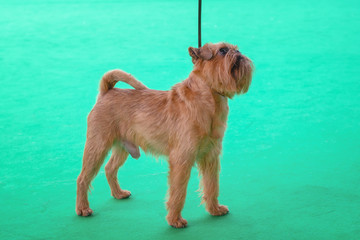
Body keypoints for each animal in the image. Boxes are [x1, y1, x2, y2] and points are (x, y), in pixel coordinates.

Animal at [76, 42, 253, 228]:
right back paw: (83, 208)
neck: (207, 99)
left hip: (122, 147)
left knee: (109, 168)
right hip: (97, 146)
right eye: (223, 51)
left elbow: (211, 185)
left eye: (235, 48)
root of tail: (107, 92)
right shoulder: (182, 159)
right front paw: (175, 220)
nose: (238, 53)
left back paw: (118, 193)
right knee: (82, 178)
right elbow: (178, 192)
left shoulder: (211, 157)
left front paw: (214, 209)